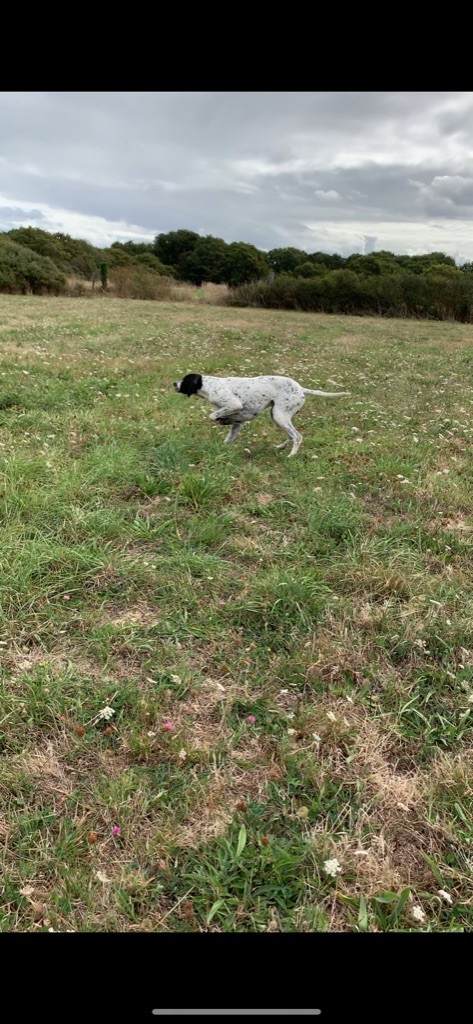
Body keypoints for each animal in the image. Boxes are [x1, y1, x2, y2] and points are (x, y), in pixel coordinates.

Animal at [173, 372, 348, 456]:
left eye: (185, 380)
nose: (174, 383)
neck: (210, 386)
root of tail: (301, 389)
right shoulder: (238, 422)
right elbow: (228, 436)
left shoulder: (234, 404)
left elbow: (213, 415)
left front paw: (222, 419)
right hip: (277, 416)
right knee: (290, 435)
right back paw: (281, 447)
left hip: (279, 415)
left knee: (297, 437)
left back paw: (291, 456)